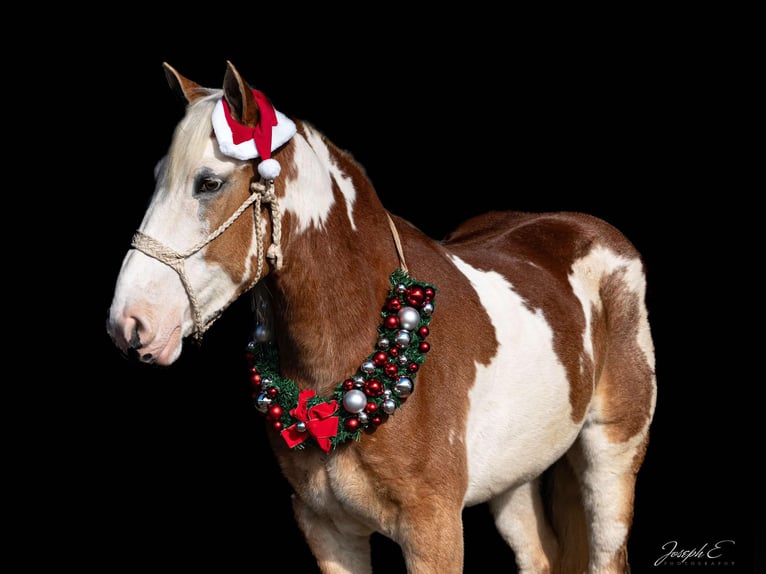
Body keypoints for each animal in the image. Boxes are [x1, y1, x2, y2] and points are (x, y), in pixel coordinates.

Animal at [106, 60, 657, 574]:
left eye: (208, 183)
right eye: (157, 177)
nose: (129, 323)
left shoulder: (434, 530)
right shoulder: (328, 530)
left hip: (611, 456)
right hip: (514, 476)